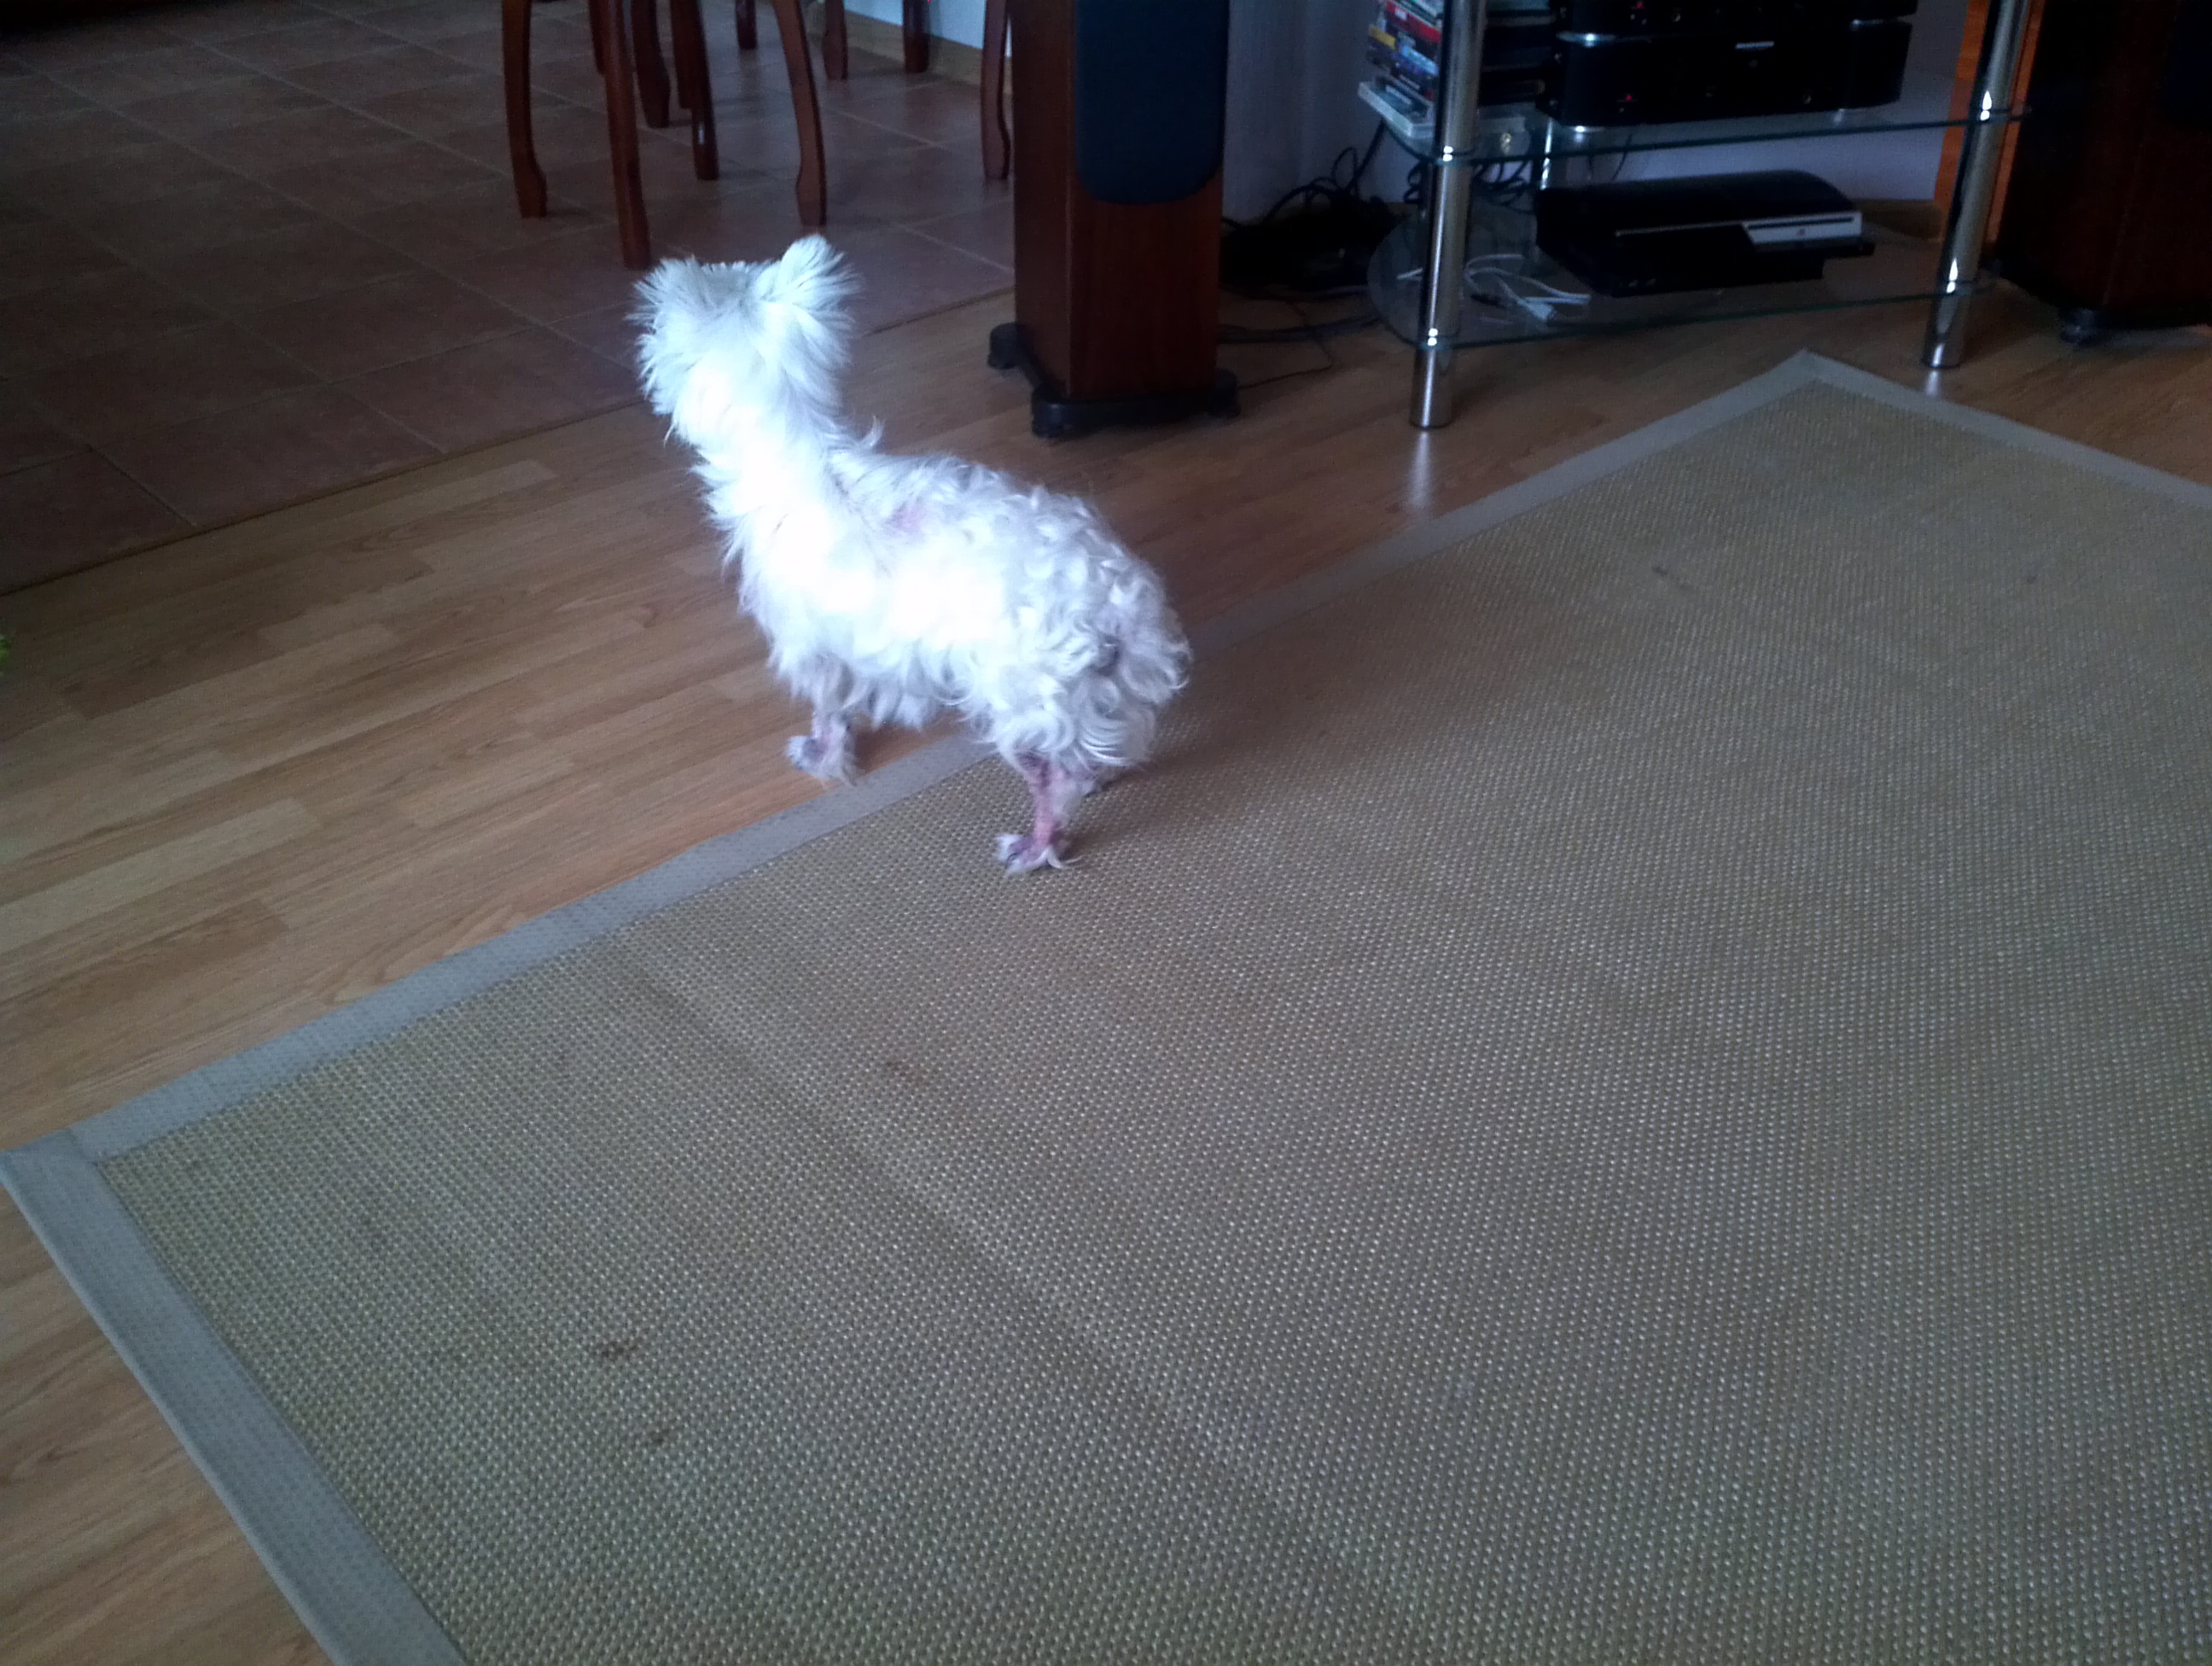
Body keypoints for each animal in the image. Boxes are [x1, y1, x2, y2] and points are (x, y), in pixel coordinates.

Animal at [634, 237, 1187, 872]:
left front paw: (821, 757)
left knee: (1054, 782)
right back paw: (1096, 779)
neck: (800, 445)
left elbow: (829, 713)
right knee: (1091, 749)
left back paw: (1035, 845)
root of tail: (1111, 616)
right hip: (1090, 693)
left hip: (1015, 703)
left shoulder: (811, 646)